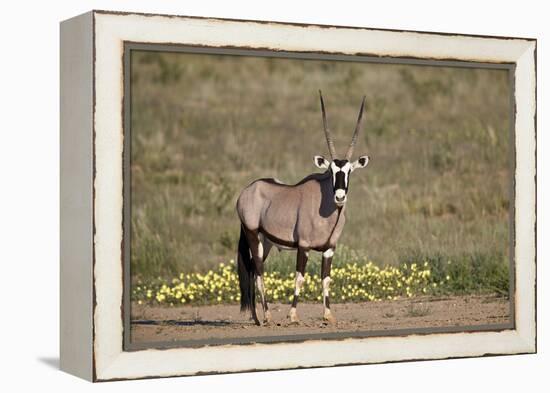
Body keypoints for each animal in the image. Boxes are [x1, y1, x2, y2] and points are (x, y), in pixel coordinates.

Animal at [237, 91, 370, 324]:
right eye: (331, 171)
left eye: (349, 172)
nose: (339, 196)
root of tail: (247, 191)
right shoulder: (304, 246)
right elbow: (299, 278)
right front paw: (292, 314)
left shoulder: (329, 249)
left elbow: (326, 279)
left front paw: (328, 315)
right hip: (253, 234)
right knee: (259, 271)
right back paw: (268, 315)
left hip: (266, 241)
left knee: (252, 269)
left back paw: (256, 317)